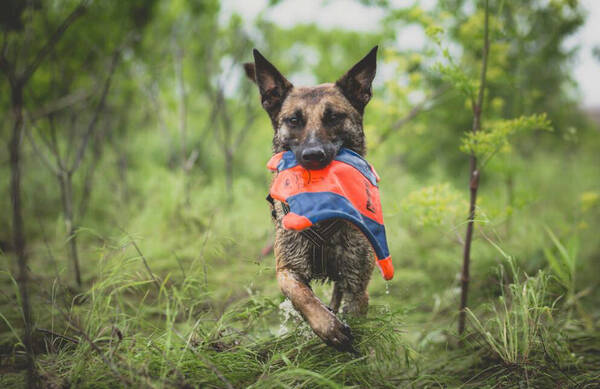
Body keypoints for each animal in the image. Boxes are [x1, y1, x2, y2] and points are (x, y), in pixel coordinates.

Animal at [241, 46, 378, 352]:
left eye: (334, 117)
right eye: (294, 120)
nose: (313, 155)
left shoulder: (357, 286)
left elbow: (358, 321)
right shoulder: (288, 269)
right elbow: (303, 297)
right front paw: (329, 328)